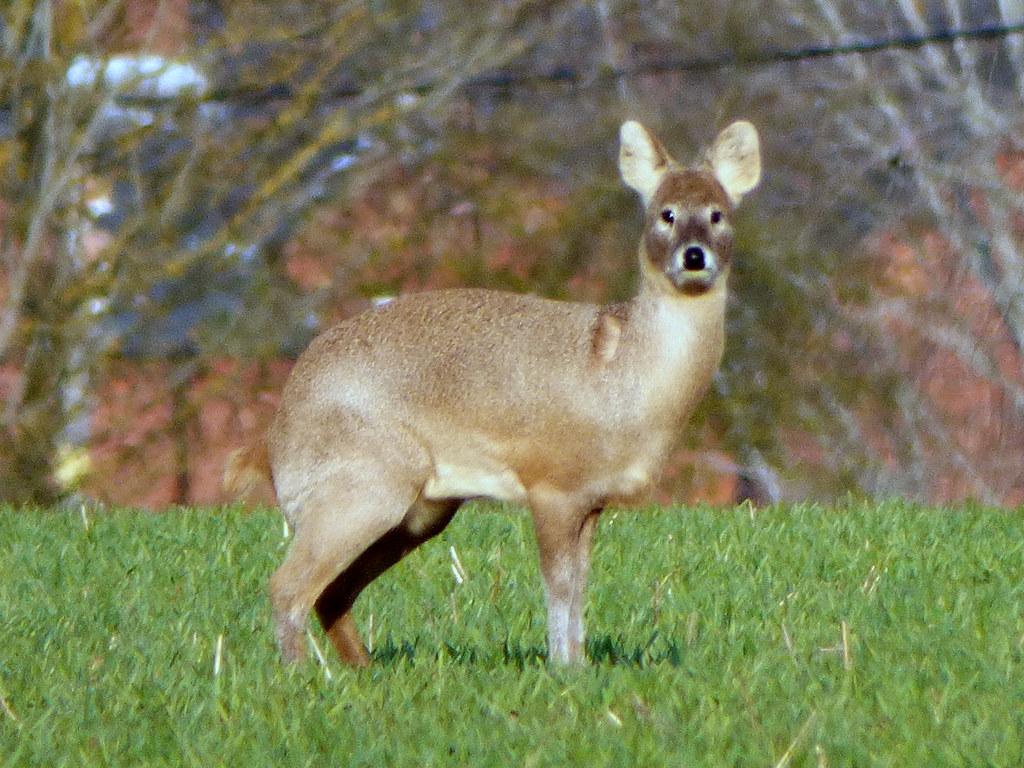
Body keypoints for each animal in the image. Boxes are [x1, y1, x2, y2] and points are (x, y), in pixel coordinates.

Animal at [224, 118, 761, 666]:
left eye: (717, 214)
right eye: (665, 214)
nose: (693, 256)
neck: (627, 380)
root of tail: (275, 435)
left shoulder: (592, 499)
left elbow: (580, 587)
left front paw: (581, 665)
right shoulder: (551, 484)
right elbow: (559, 586)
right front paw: (563, 668)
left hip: (421, 509)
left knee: (331, 592)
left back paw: (361, 670)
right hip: (363, 481)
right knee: (287, 586)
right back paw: (303, 674)